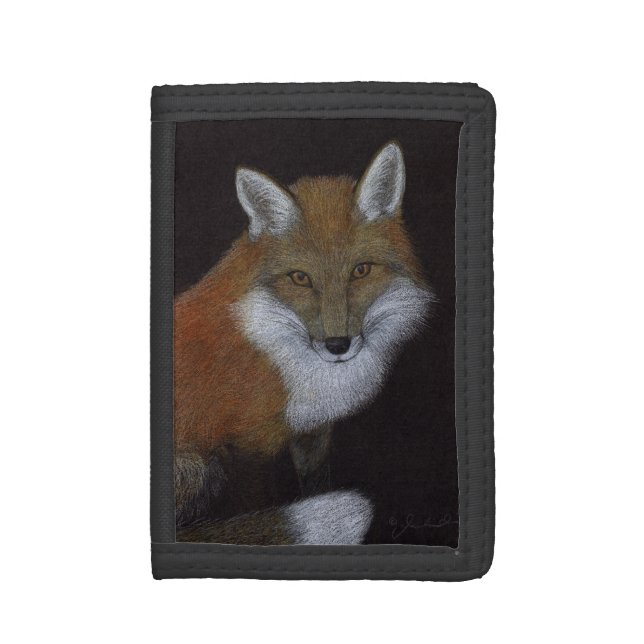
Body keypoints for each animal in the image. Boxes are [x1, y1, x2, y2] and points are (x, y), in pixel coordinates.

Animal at [174, 141, 433, 544]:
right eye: (300, 278)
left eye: (360, 270)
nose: (338, 345)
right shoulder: (244, 448)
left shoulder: (312, 429)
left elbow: (315, 483)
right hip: (198, 465)